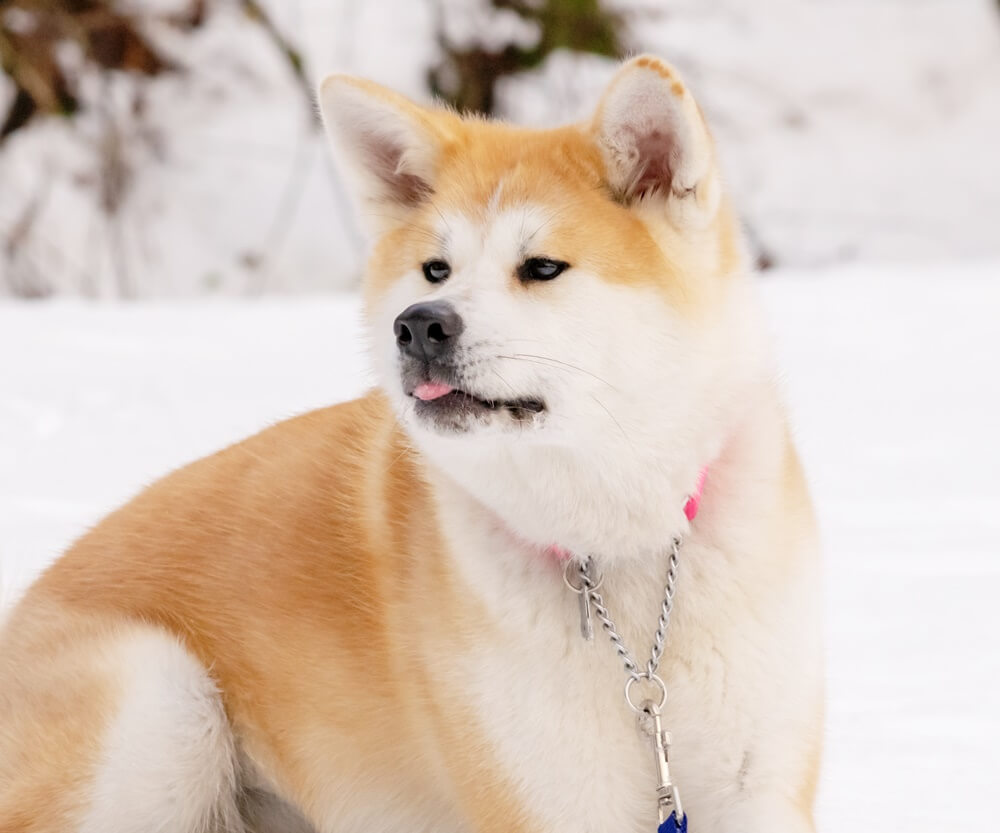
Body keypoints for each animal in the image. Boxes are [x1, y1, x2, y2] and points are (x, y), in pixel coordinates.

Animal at [0, 55, 820, 828]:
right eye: (436, 269)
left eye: (542, 267)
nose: (420, 325)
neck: (619, 549)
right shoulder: (547, 797)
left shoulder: (759, 784)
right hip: (163, 703)